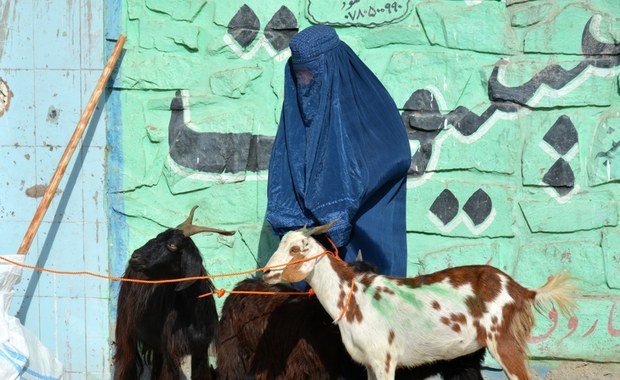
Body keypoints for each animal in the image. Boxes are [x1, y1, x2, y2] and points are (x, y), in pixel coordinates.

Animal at [114, 208, 235, 380]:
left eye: (172, 245)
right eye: (158, 236)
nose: (134, 257)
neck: (193, 316)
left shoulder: (200, 350)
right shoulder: (171, 351)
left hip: (157, 344)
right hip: (126, 329)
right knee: (126, 363)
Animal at [264, 223, 580, 380]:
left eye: (295, 249)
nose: (266, 272)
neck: (354, 297)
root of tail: (521, 289)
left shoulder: (385, 359)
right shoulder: (369, 363)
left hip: (504, 341)